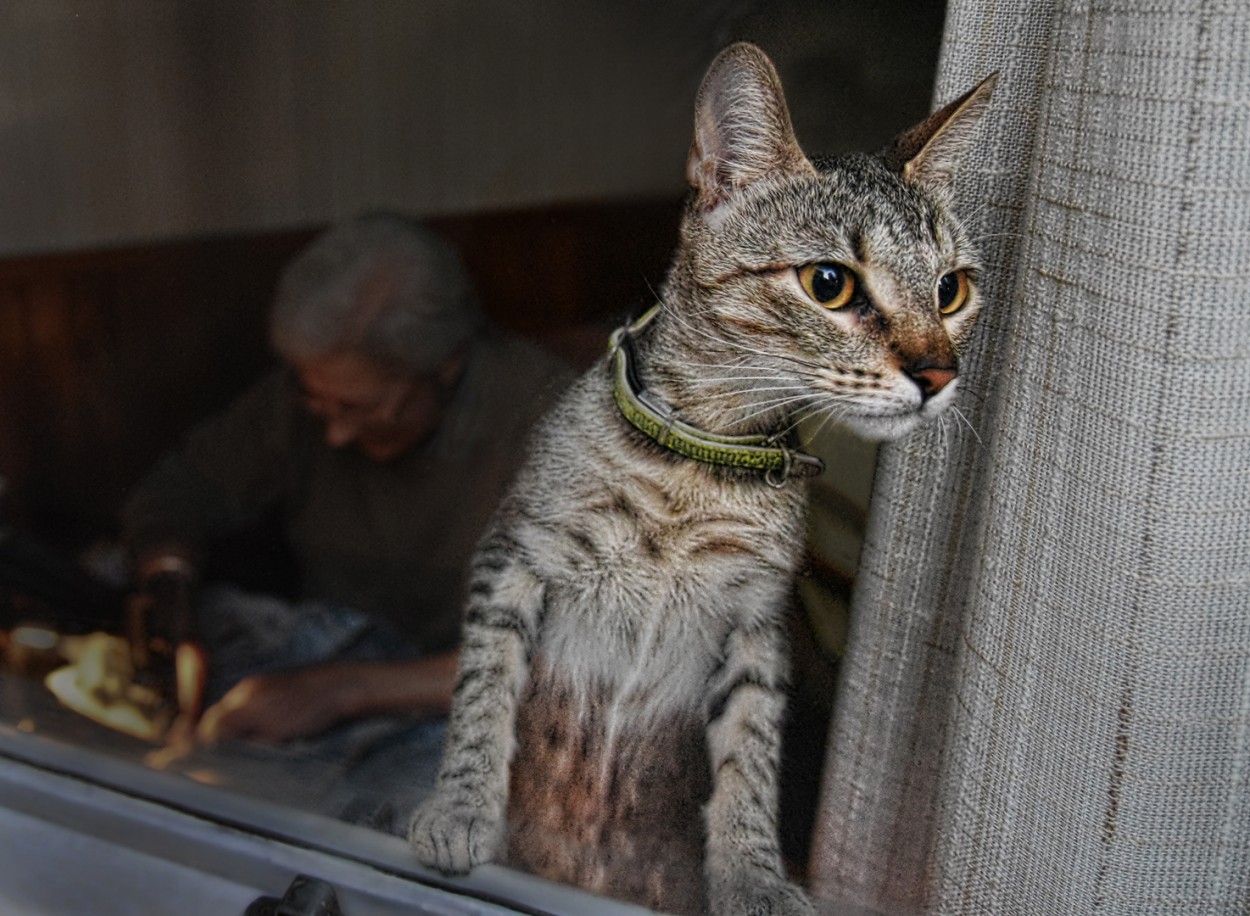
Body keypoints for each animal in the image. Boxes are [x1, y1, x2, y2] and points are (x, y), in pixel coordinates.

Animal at [410, 42, 995, 914]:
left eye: (952, 289)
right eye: (830, 283)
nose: (938, 373)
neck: (697, 469)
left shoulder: (757, 625)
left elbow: (750, 754)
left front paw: (753, 875)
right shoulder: (512, 554)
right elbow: (483, 686)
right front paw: (460, 805)